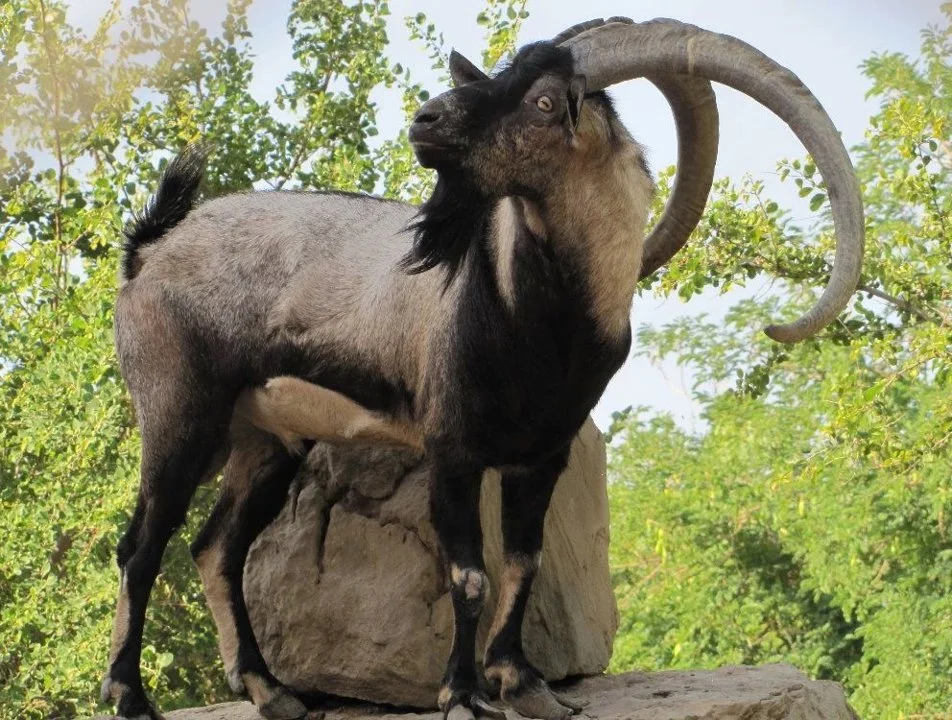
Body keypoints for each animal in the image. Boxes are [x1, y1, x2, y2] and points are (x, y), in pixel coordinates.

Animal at [101, 17, 863, 720]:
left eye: (547, 101)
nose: (427, 119)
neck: (541, 330)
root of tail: (149, 251)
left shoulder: (541, 455)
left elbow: (522, 564)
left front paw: (523, 684)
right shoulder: (453, 448)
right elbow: (468, 575)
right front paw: (463, 694)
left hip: (267, 439)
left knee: (216, 548)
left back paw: (270, 689)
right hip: (178, 414)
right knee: (141, 547)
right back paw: (130, 695)